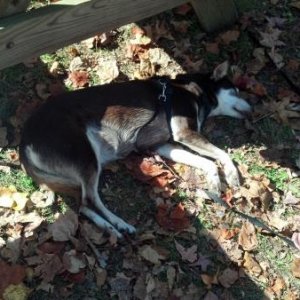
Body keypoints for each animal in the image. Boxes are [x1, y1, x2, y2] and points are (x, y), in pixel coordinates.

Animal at [19, 62, 252, 238]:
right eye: (235, 91)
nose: (253, 109)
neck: (191, 90)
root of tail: (23, 143)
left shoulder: (163, 145)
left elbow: (206, 161)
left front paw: (214, 180)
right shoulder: (184, 132)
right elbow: (221, 154)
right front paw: (231, 174)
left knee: (83, 205)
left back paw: (110, 227)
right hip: (86, 156)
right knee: (90, 200)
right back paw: (118, 223)